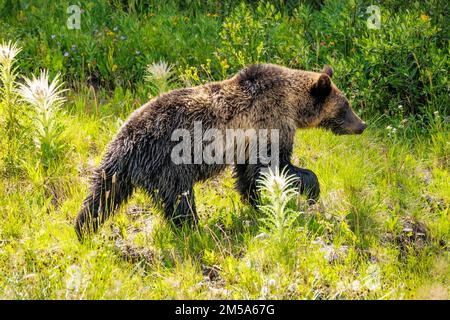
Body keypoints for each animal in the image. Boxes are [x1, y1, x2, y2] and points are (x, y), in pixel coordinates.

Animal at [75, 63, 368, 239]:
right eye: (345, 106)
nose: (362, 125)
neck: (292, 104)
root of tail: (126, 143)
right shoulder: (269, 125)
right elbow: (274, 165)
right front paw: (310, 188)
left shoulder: (248, 142)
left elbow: (250, 175)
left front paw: (256, 203)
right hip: (168, 163)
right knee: (180, 200)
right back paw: (194, 230)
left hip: (116, 169)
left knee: (101, 196)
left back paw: (82, 229)